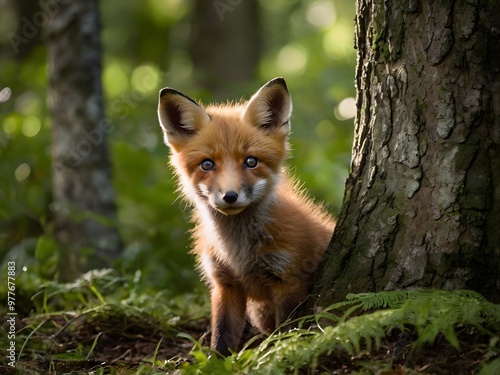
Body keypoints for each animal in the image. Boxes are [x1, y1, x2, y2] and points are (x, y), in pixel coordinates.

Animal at [156, 78, 336, 356]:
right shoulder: (225, 283)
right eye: (207, 164)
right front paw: (218, 362)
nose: (230, 196)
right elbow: (222, 334)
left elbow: (287, 330)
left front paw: (280, 352)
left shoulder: (289, 281)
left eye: (251, 161)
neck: (238, 251)